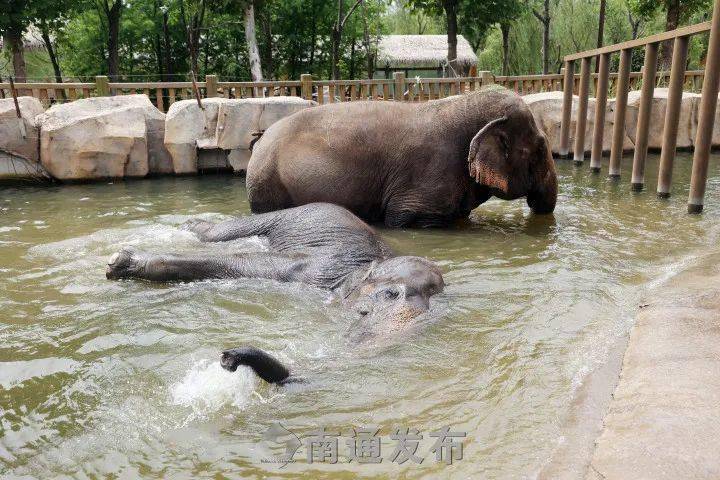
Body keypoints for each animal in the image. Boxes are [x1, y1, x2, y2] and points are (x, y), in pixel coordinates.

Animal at [106, 204, 444, 384]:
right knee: (221, 234)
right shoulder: (316, 268)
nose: (228, 358)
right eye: (390, 294)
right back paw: (190, 225)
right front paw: (120, 262)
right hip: (280, 216)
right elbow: (243, 261)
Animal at [246, 86, 556, 229]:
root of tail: (259, 140)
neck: (461, 102)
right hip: (268, 185)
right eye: (541, 149)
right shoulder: (428, 175)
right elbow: (403, 219)